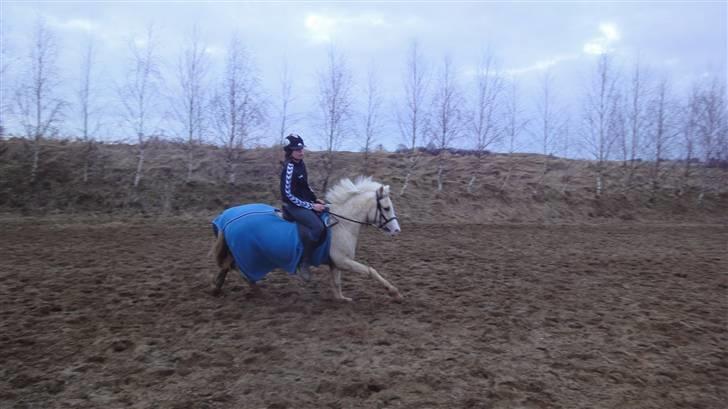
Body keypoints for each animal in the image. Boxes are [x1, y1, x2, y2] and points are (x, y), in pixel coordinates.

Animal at [210, 176, 403, 302]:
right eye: (386, 208)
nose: (396, 230)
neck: (341, 224)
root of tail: (228, 219)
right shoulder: (343, 261)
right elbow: (371, 271)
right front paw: (394, 292)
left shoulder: (336, 263)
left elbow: (337, 283)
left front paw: (341, 299)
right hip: (249, 255)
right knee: (240, 270)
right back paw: (256, 291)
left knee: (227, 266)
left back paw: (217, 288)